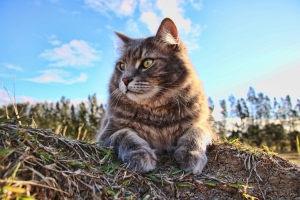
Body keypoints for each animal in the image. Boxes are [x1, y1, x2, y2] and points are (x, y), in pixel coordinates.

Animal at [97, 18, 212, 175]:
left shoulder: (204, 125)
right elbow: (125, 134)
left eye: (147, 63)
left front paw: (191, 155)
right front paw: (141, 155)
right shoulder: (105, 135)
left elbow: (195, 132)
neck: (156, 110)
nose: (125, 80)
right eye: (122, 66)